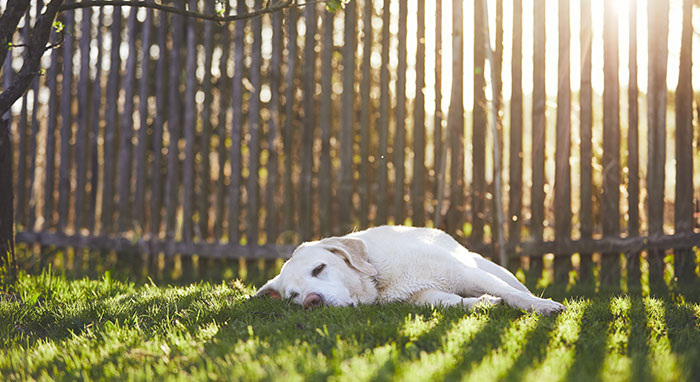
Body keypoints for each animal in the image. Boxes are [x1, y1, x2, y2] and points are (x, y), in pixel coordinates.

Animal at [254, 225, 568, 314]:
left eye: (319, 268)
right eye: (294, 296)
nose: (311, 301)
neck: (380, 279)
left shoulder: (467, 274)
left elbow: (514, 295)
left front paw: (543, 307)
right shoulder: (420, 297)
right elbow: (451, 302)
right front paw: (482, 303)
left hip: (491, 269)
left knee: (516, 287)